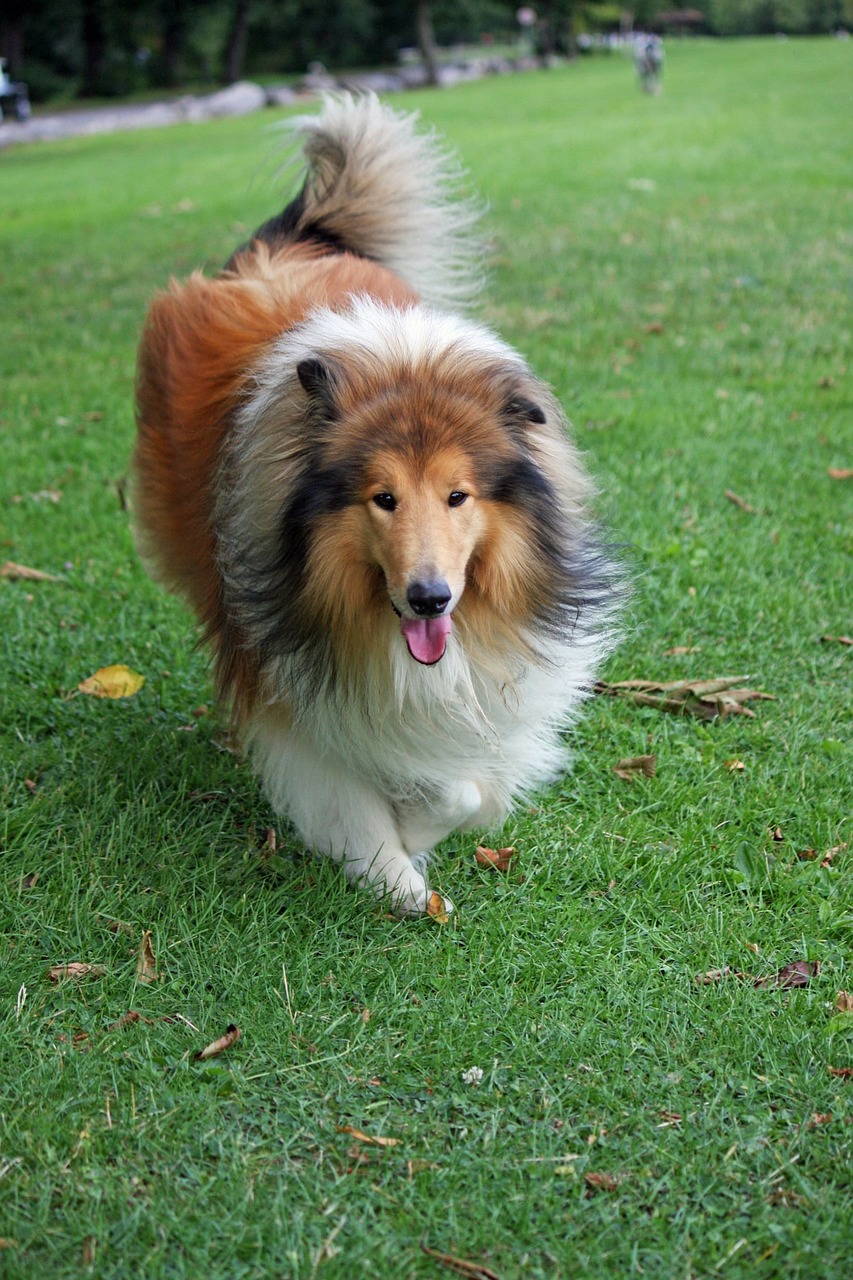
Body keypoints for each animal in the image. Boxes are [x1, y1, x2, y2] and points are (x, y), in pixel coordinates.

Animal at [133, 94, 614, 916]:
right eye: (382, 499)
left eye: (457, 495)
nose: (429, 599)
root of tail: (286, 244)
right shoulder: (287, 686)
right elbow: (350, 793)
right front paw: (395, 871)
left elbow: (470, 787)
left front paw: (417, 828)